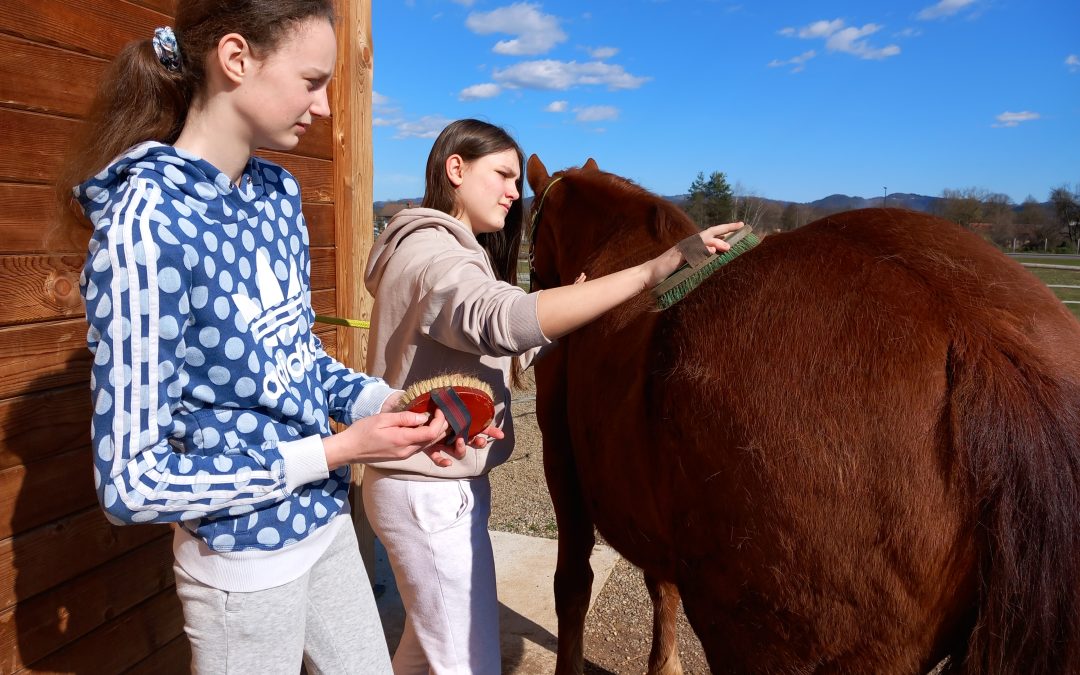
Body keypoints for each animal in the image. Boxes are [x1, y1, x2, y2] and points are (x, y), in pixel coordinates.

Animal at [524, 154, 1080, 673]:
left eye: (533, 221)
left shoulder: (565, 464)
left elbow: (574, 586)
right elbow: (661, 587)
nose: (540, 292)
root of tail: (981, 340)